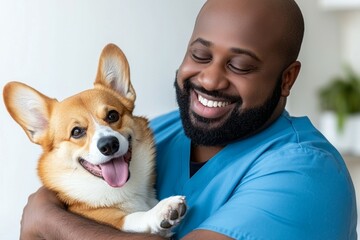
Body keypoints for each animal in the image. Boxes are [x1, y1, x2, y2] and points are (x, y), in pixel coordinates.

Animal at [3, 43, 186, 236]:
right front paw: (161, 211)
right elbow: (131, 218)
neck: (123, 191)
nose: (109, 145)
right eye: (76, 131)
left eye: (112, 115)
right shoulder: (110, 219)